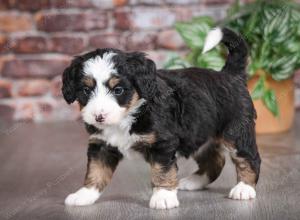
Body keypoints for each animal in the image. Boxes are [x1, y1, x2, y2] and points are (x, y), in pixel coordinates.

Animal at [61, 27, 260, 210]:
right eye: (85, 90)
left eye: (118, 90)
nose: (99, 117)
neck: (130, 114)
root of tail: (229, 74)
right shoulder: (102, 145)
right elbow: (96, 171)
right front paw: (85, 194)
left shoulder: (163, 144)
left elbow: (161, 170)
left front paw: (163, 197)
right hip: (200, 134)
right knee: (214, 162)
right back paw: (193, 182)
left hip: (236, 132)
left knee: (249, 158)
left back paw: (244, 188)